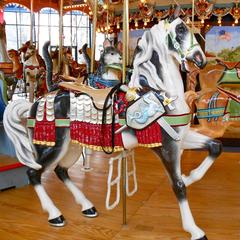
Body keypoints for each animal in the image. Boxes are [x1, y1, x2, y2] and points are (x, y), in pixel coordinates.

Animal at [3, 7, 221, 240]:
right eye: (180, 29)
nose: (200, 59)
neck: (161, 93)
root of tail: (35, 102)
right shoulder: (165, 145)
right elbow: (178, 185)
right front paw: (195, 230)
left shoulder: (180, 137)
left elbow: (215, 147)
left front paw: (191, 177)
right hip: (51, 145)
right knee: (34, 173)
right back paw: (55, 215)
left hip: (72, 145)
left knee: (60, 171)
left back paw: (87, 206)